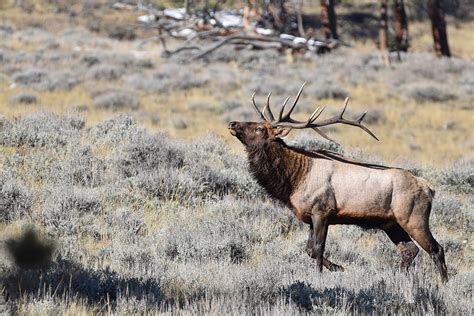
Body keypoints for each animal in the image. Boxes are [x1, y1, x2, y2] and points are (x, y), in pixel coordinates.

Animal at [230, 82, 448, 282]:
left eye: (259, 128)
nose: (232, 123)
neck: (294, 179)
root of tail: (430, 189)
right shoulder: (311, 216)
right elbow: (309, 250)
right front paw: (339, 268)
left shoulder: (322, 210)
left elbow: (318, 248)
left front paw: (320, 276)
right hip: (392, 223)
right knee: (409, 250)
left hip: (414, 217)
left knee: (436, 249)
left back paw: (443, 284)